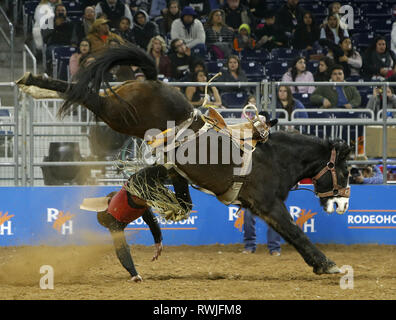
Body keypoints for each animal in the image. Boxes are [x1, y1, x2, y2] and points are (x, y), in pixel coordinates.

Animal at [17, 44, 352, 276]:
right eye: (347, 171)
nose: (342, 204)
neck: (274, 157)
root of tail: (154, 81)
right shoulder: (270, 204)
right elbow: (296, 233)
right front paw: (329, 264)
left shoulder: (258, 207)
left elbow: (290, 237)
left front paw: (319, 264)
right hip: (118, 114)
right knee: (84, 95)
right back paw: (32, 81)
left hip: (117, 115)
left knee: (85, 94)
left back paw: (34, 85)